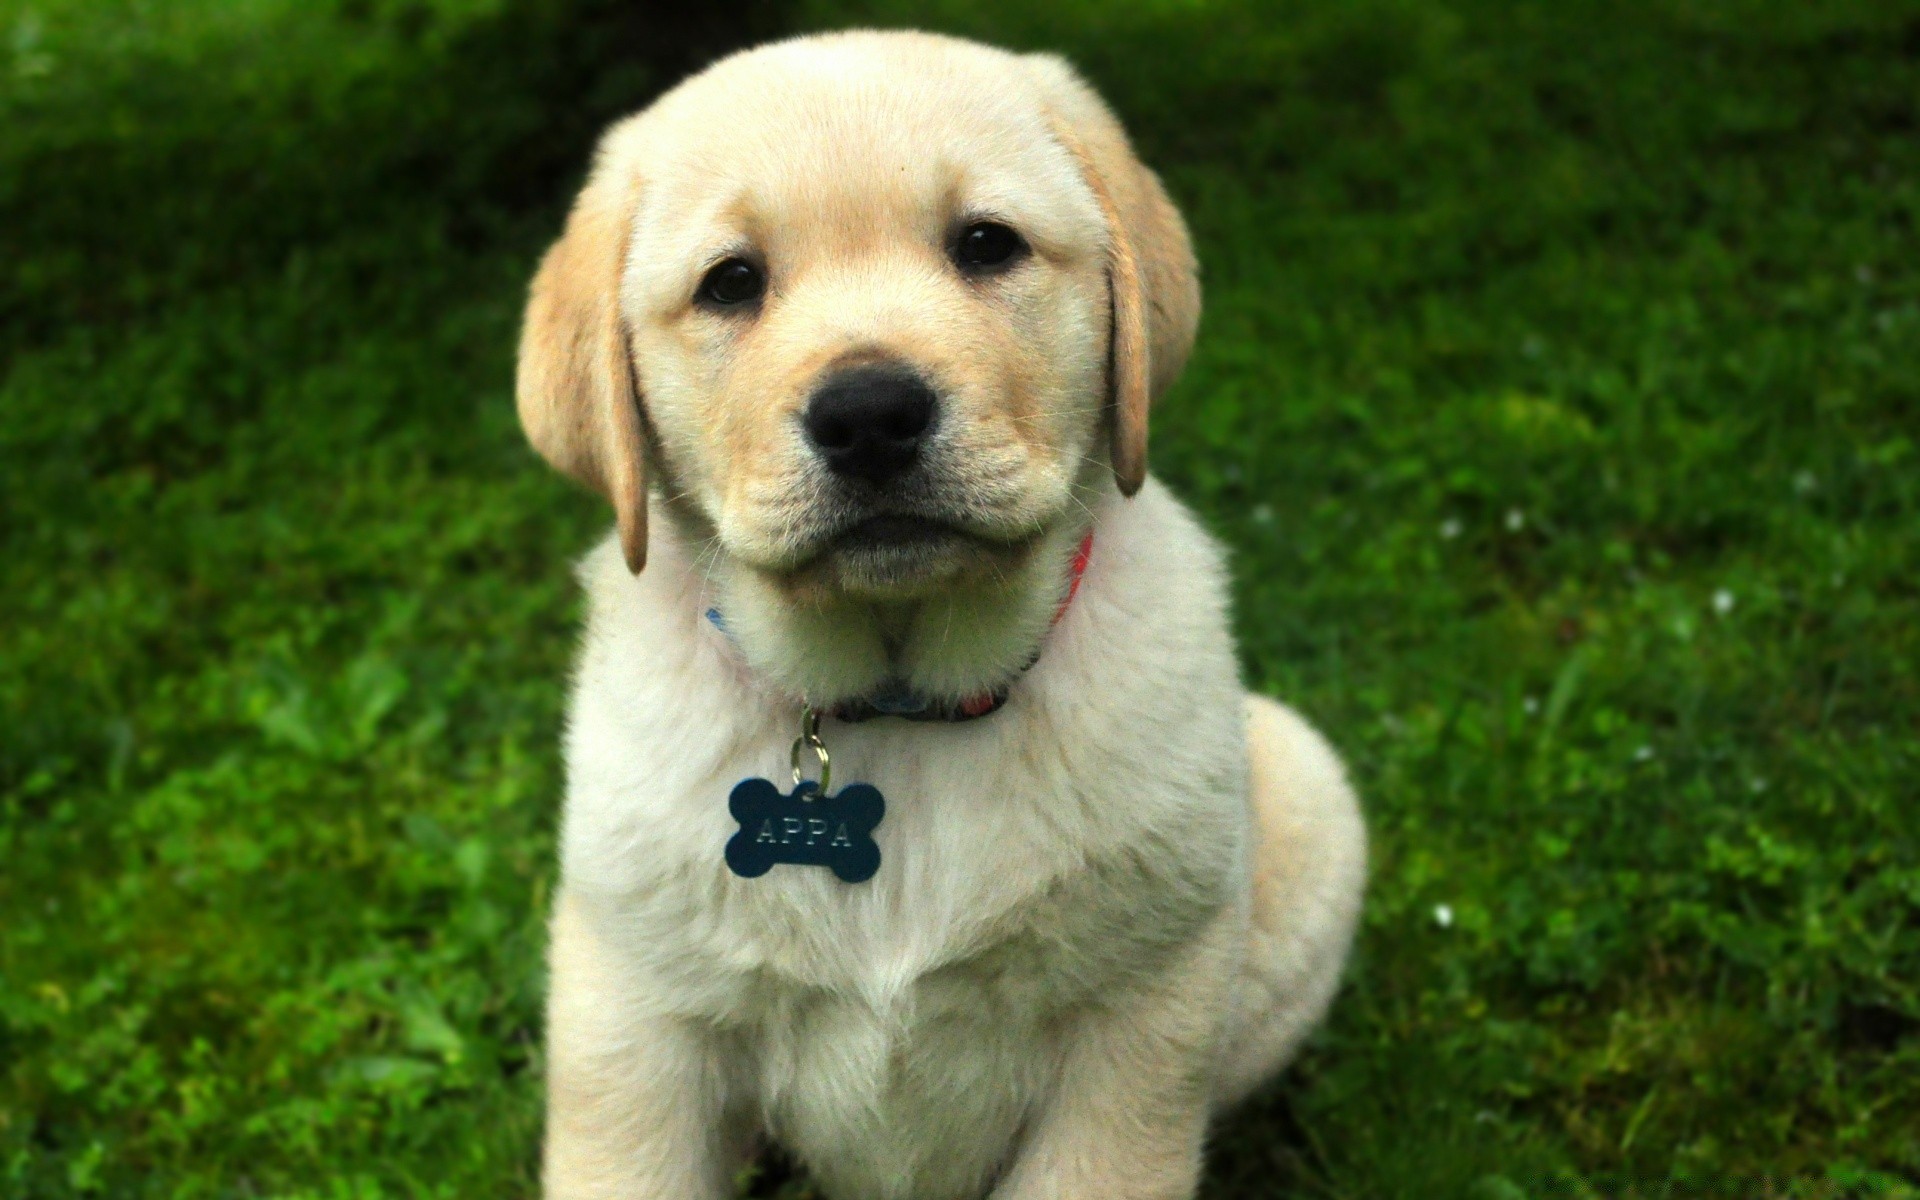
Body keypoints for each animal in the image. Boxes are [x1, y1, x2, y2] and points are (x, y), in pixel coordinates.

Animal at [518, 28, 1374, 1198]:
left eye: (986, 245)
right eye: (731, 283)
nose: (870, 414)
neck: (894, 706)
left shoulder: (1138, 1024)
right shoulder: (635, 1022)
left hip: (1304, 798)